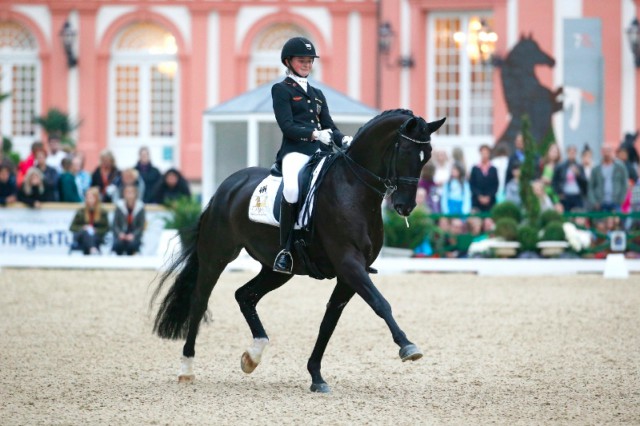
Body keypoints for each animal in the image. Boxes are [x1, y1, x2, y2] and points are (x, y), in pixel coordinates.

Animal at [152, 109, 444, 392]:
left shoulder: (349, 273)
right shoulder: (349, 263)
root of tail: (226, 187)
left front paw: (316, 376)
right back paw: (186, 367)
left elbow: (330, 320)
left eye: (427, 156)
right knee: (200, 301)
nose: (405, 206)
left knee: (245, 295)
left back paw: (253, 355)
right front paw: (407, 346)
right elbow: (380, 303)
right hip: (216, 256)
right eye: (404, 151)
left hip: (277, 269)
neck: (354, 188)